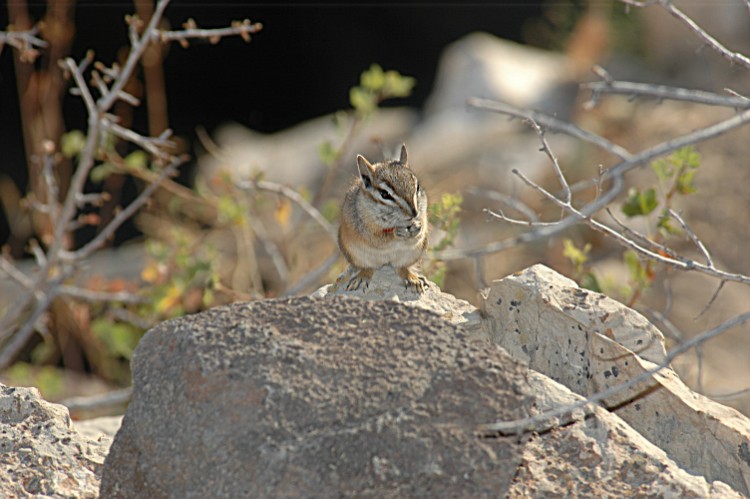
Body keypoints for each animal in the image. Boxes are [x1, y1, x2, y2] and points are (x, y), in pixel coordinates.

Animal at [338, 144, 429, 292]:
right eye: (385, 194)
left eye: (417, 187)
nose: (414, 213)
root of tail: (386, 263)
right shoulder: (366, 229)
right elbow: (380, 237)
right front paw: (397, 232)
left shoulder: (423, 212)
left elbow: (423, 224)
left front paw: (418, 227)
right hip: (355, 255)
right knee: (368, 268)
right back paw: (361, 277)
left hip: (413, 254)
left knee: (402, 268)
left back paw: (413, 279)